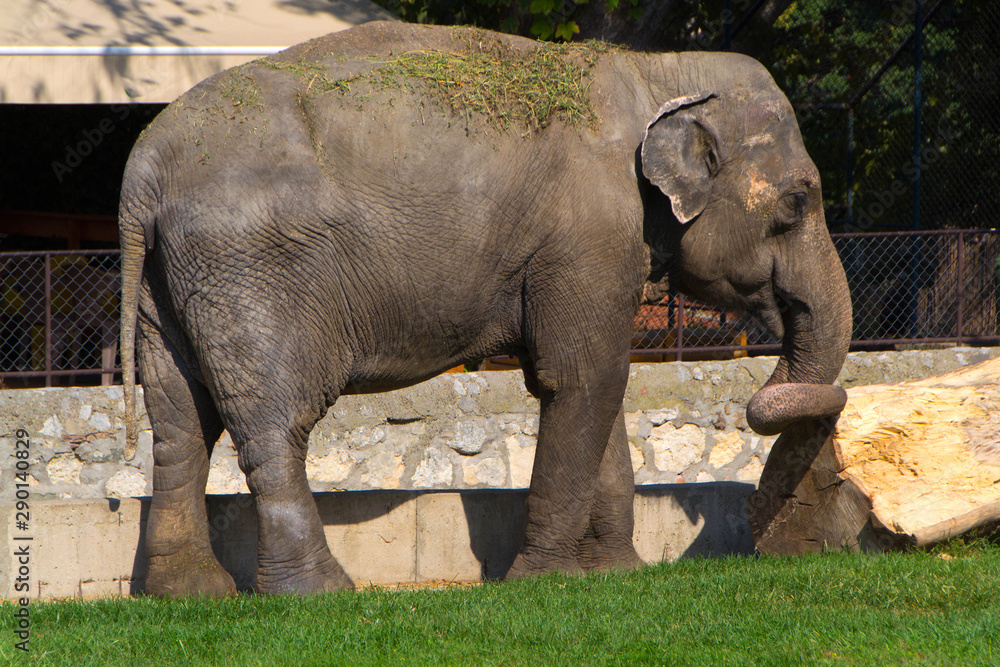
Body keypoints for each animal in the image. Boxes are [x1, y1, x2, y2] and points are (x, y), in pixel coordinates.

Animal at [118, 21, 851, 596]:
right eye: (798, 201)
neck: (656, 70)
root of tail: (142, 172)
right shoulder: (587, 234)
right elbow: (582, 378)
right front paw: (545, 582)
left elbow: (598, 384)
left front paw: (617, 575)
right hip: (248, 271)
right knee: (275, 422)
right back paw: (319, 592)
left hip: (170, 283)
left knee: (180, 421)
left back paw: (188, 594)